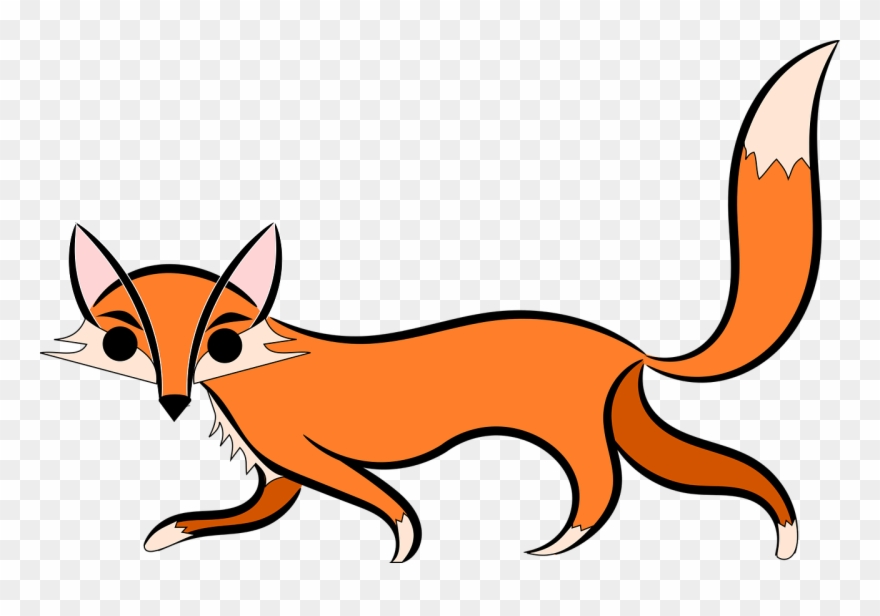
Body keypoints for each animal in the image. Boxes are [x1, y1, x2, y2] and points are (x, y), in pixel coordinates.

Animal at [45, 42, 837, 563]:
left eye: (222, 343)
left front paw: (402, 541)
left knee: (604, 487)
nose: (173, 402)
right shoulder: (277, 474)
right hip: (629, 423)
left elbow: (382, 502)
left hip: (577, 434)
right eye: (122, 344)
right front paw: (172, 532)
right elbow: (245, 512)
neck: (254, 373)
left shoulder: (301, 451)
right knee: (723, 472)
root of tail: (628, 349)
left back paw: (559, 544)